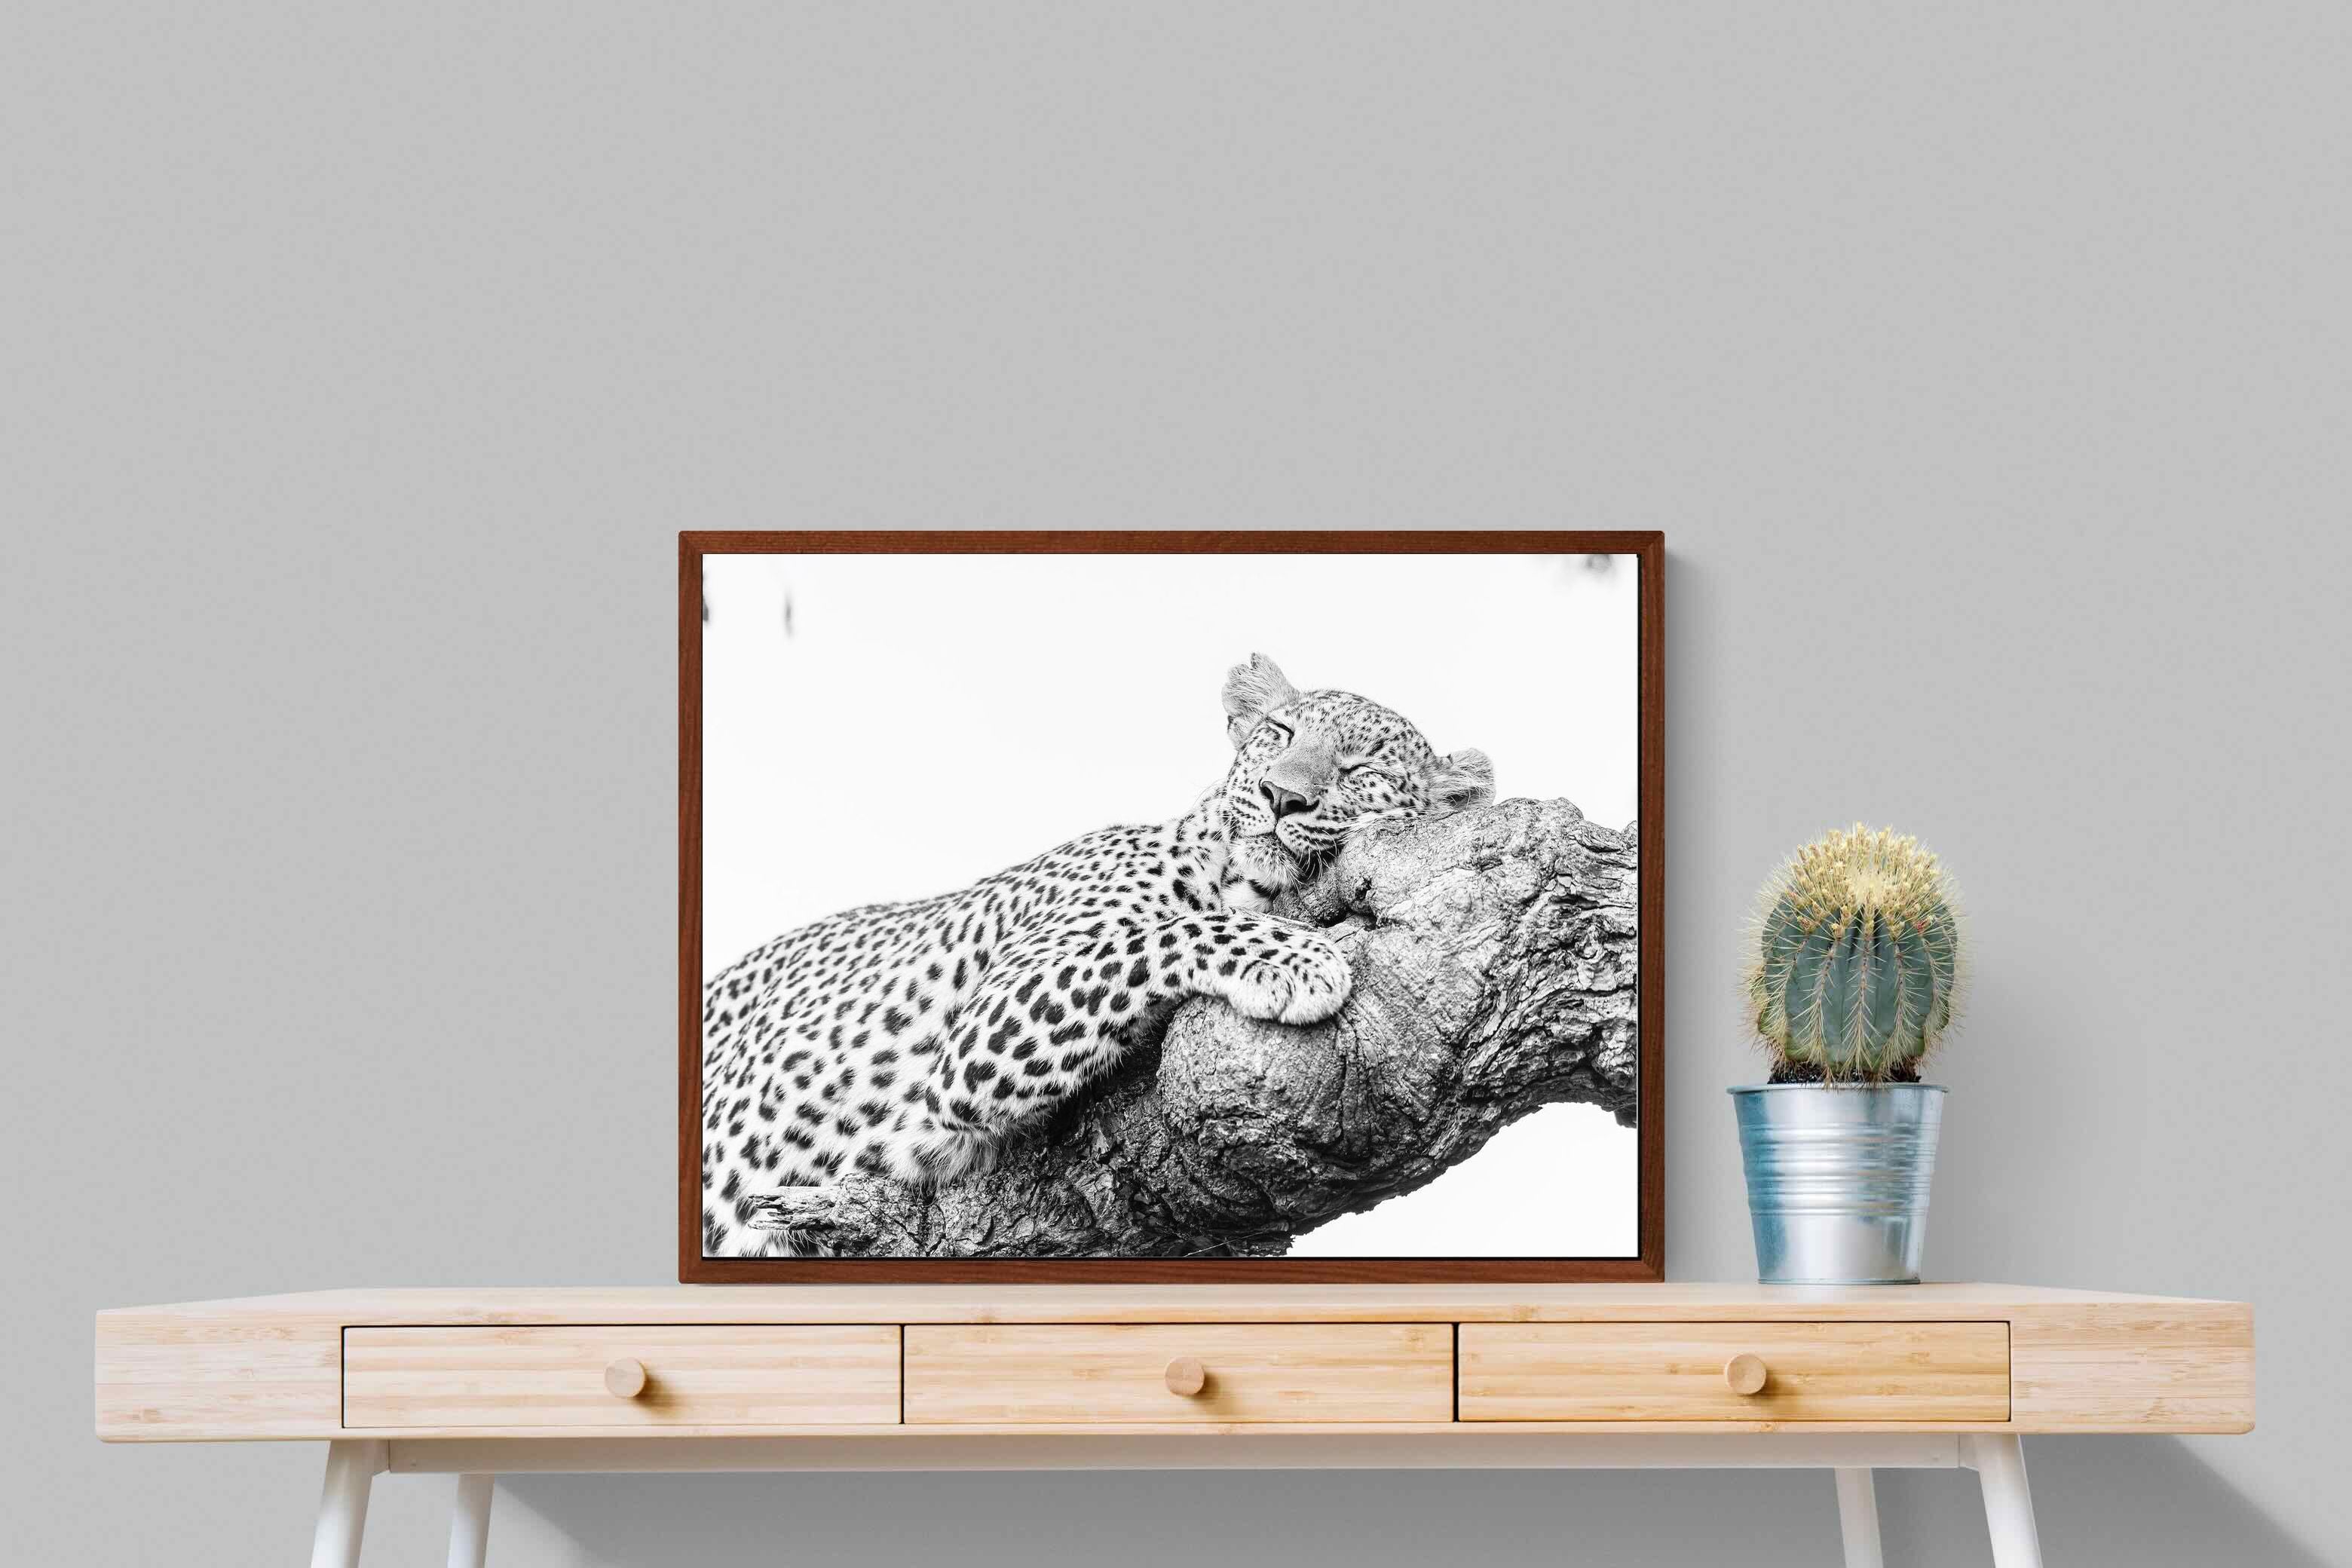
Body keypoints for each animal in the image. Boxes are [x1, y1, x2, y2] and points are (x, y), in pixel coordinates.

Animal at [699, 653, 1494, 1257]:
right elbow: (1162, 934)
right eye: (1280, 732)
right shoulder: (981, 1033)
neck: (1237, 874)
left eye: (1361, 769)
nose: (1281, 796)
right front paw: (1299, 957)